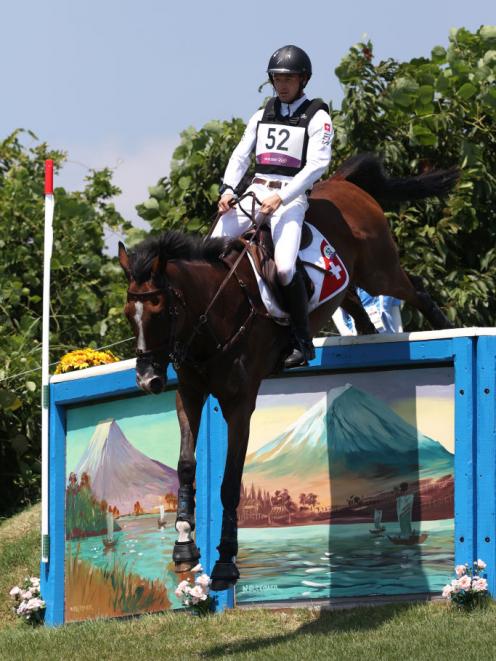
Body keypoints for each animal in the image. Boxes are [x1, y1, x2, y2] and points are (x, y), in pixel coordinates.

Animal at [116, 152, 458, 592]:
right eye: (130, 313)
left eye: (159, 310)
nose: (147, 380)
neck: (213, 316)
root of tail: (341, 183)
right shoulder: (188, 394)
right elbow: (186, 467)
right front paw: (184, 546)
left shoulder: (240, 403)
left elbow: (230, 481)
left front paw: (225, 563)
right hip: (350, 282)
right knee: (357, 306)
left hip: (379, 270)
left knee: (414, 289)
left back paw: (445, 325)